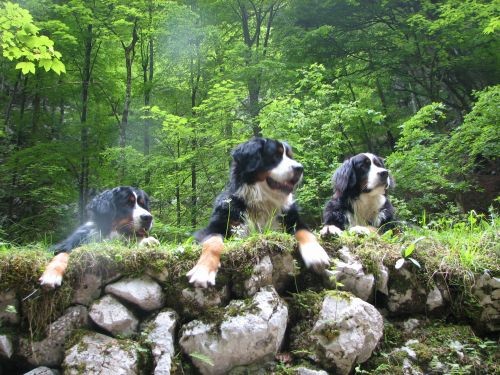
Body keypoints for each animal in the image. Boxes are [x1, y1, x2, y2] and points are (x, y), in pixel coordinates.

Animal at [186, 137, 330, 288]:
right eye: (276, 155)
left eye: (290, 156)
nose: (300, 168)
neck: (263, 203)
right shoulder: (215, 226)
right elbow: (213, 243)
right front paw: (203, 271)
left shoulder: (293, 219)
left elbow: (305, 232)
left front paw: (316, 253)